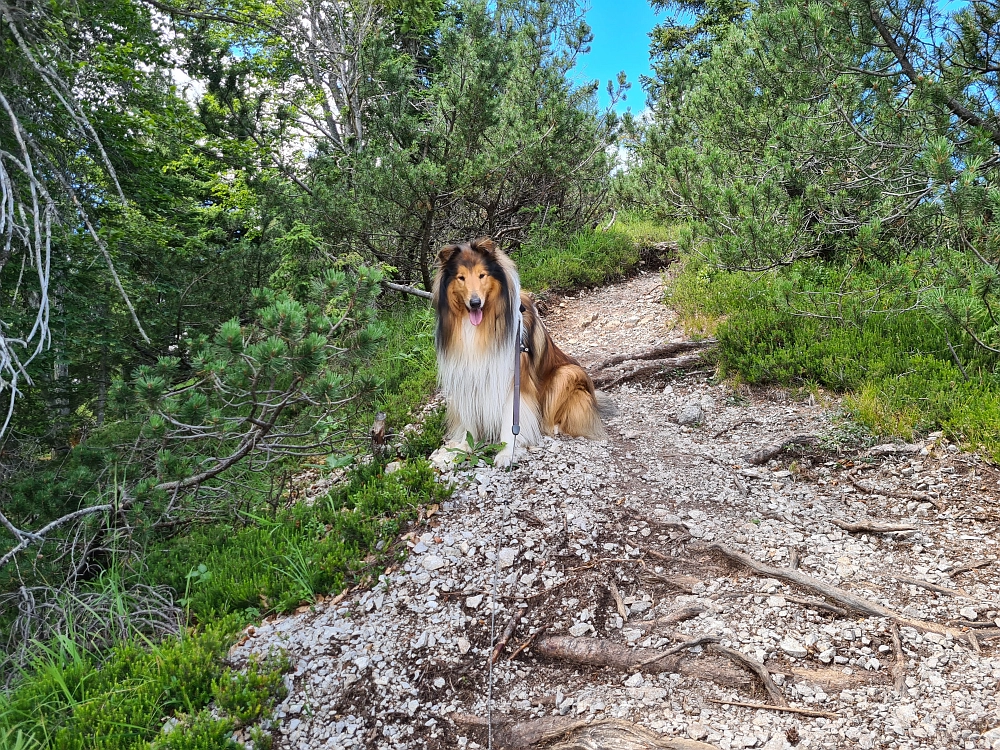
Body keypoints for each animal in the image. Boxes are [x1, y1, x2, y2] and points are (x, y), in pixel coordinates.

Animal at [434, 238, 612, 468]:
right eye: (461, 277)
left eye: (482, 275)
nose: (475, 303)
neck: (480, 327)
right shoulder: (465, 373)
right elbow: (467, 420)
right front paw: (459, 448)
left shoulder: (515, 378)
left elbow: (511, 419)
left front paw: (506, 452)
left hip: (567, 373)